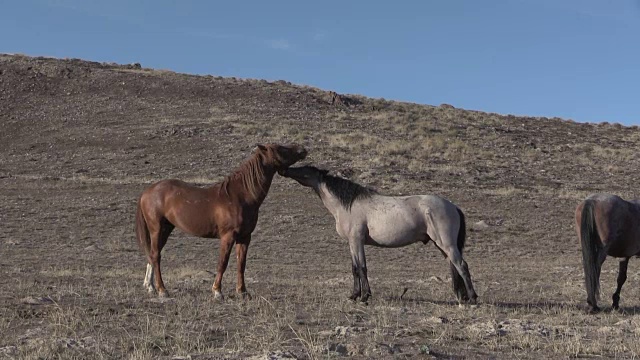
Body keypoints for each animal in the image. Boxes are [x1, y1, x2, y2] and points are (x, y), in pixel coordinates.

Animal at [135, 143, 308, 298]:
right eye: (280, 148)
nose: (303, 149)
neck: (239, 196)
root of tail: (147, 192)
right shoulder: (227, 237)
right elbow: (222, 263)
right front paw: (217, 291)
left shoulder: (245, 237)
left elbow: (241, 264)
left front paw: (242, 292)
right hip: (157, 229)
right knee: (155, 255)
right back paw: (162, 290)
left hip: (166, 229)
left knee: (153, 254)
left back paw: (150, 287)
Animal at [282, 166, 478, 304]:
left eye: (305, 168)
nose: (285, 169)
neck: (347, 206)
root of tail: (453, 206)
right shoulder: (351, 243)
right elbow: (354, 268)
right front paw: (354, 295)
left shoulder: (357, 241)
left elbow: (362, 267)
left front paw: (364, 297)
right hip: (442, 246)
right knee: (454, 267)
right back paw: (462, 297)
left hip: (447, 244)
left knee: (462, 266)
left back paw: (473, 298)